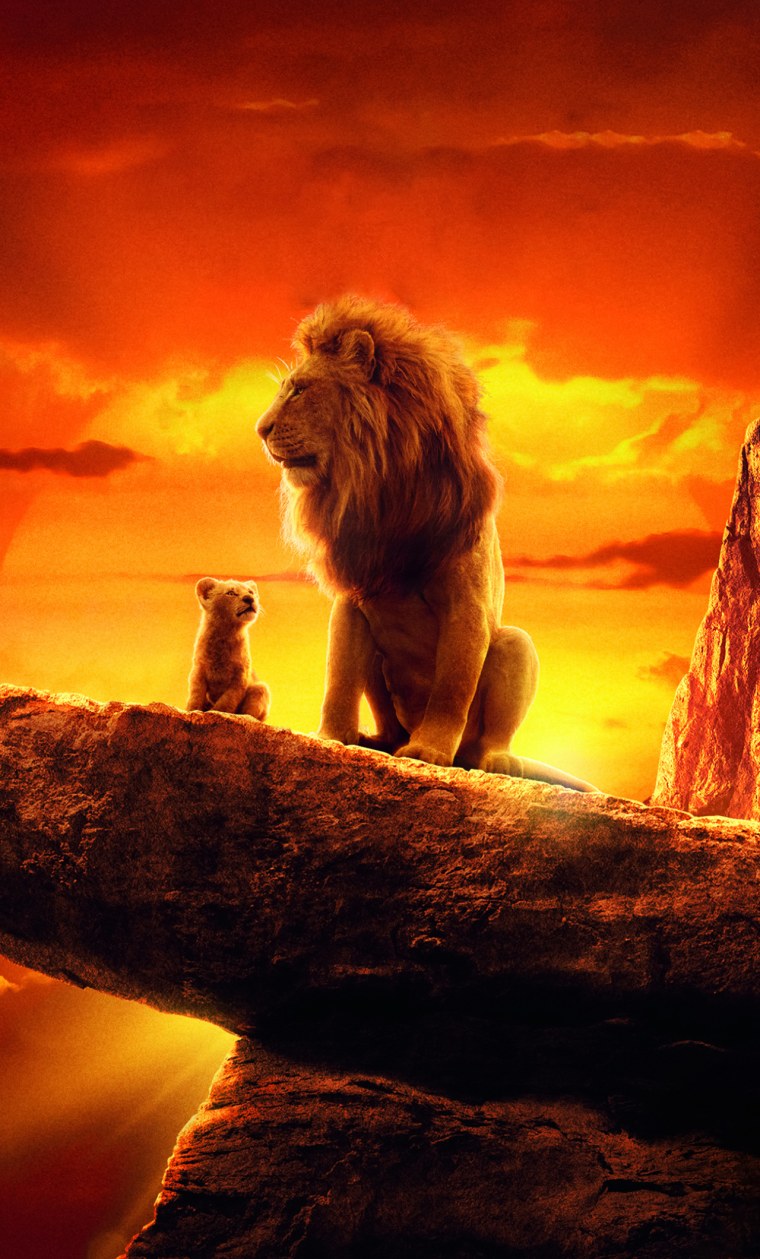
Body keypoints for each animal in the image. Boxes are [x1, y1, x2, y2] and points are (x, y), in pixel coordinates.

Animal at [187, 577, 271, 720]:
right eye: (231, 593)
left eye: (251, 592)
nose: (249, 598)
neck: (226, 634)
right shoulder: (198, 670)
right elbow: (196, 694)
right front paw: (192, 711)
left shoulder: (240, 677)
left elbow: (228, 700)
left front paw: (217, 713)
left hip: (261, 688)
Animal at [256, 295, 595, 790]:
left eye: (299, 390)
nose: (259, 429)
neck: (381, 484)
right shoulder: (353, 596)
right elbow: (338, 678)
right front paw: (330, 737)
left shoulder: (466, 605)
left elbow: (452, 689)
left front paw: (429, 752)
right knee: (386, 718)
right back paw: (377, 741)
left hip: (515, 645)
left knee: (487, 734)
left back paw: (494, 760)